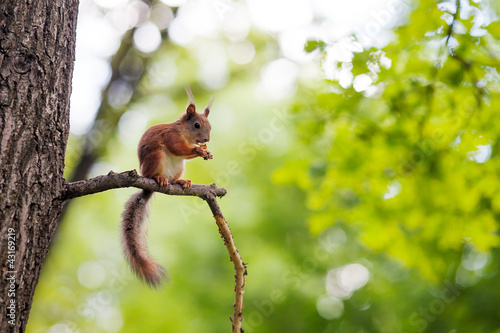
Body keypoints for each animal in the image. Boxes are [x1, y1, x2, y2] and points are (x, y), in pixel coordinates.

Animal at [123, 87, 215, 286]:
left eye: (210, 126)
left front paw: (206, 152)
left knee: (175, 178)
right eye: (197, 125)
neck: (183, 131)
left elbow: (185, 153)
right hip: (156, 157)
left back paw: (181, 182)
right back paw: (159, 178)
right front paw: (198, 150)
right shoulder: (171, 136)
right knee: (153, 173)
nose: (206, 139)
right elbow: (177, 148)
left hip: (179, 167)